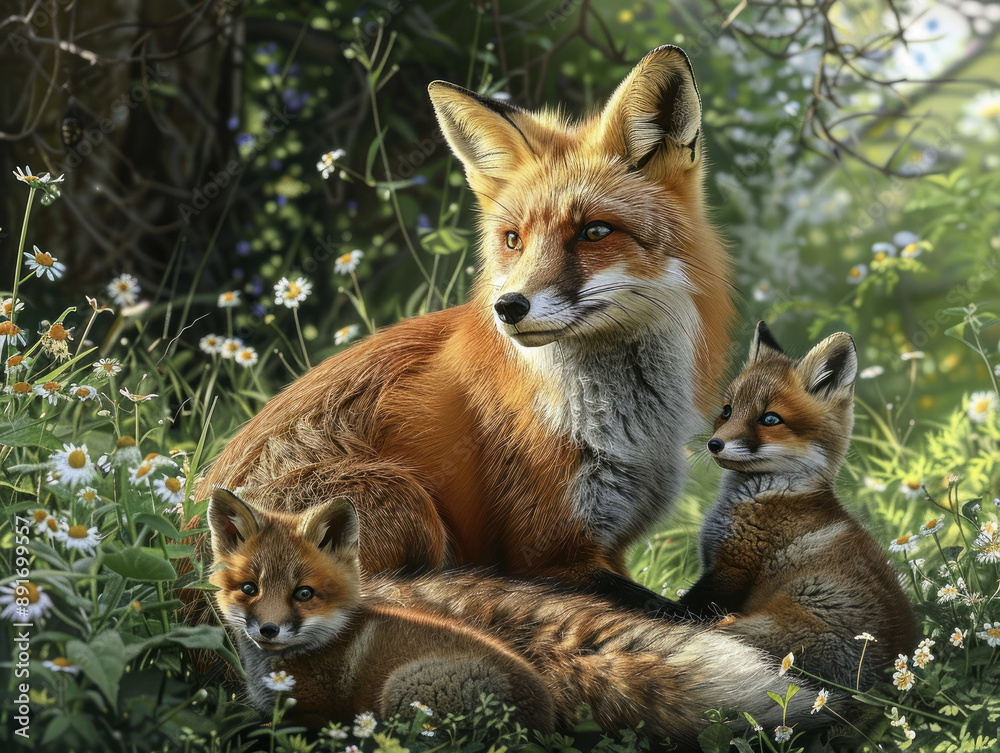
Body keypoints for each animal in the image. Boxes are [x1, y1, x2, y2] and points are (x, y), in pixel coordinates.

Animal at [195, 44, 733, 614]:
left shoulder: (611, 546)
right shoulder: (548, 555)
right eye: (513, 239)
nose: (508, 307)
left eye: (595, 232)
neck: (626, 431)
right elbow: (684, 612)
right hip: (404, 499)